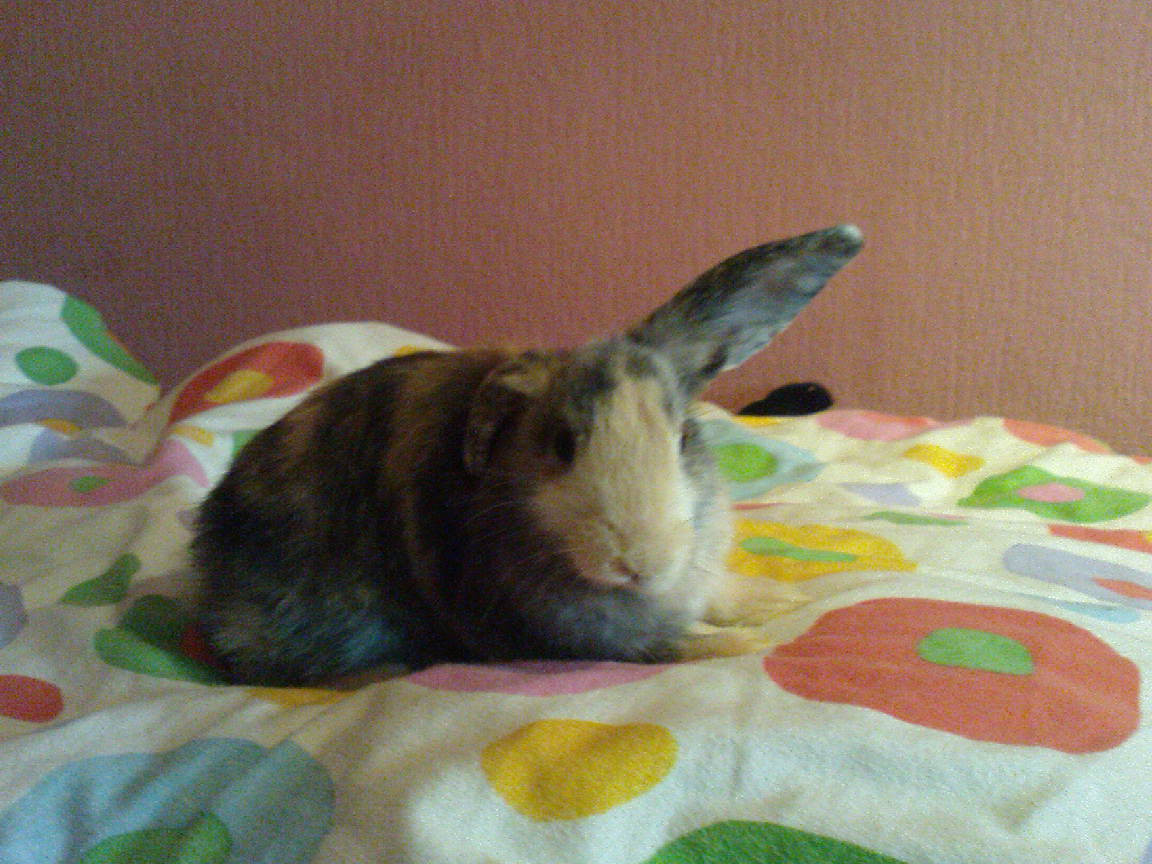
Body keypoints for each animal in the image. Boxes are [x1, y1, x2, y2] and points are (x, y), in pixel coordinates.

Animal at [191, 224, 863, 685]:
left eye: (683, 439)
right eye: (561, 444)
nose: (639, 561)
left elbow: (721, 594)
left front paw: (781, 602)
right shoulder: (582, 639)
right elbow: (678, 644)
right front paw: (758, 646)